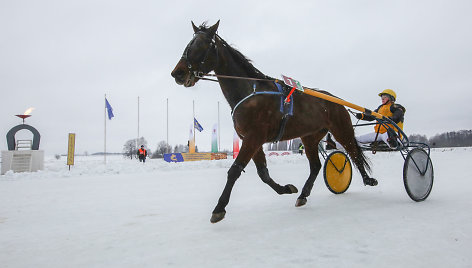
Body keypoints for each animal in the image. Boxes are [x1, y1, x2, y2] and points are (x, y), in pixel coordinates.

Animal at [171, 20, 376, 224]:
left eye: (201, 45)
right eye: (189, 44)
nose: (177, 73)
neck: (250, 91)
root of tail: (337, 100)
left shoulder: (254, 137)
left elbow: (235, 170)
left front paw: (219, 208)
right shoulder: (251, 139)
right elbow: (263, 173)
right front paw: (286, 188)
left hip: (341, 128)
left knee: (354, 152)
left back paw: (368, 179)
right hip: (310, 137)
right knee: (316, 166)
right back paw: (303, 194)